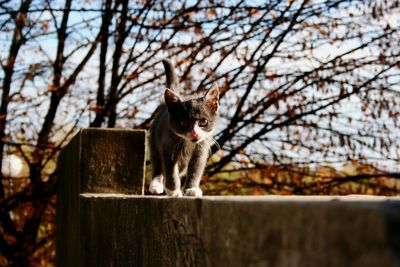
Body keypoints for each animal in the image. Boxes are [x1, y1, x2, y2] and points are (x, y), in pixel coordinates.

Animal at [149, 59, 220, 197]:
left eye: (203, 122)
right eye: (183, 123)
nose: (194, 134)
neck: (188, 142)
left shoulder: (202, 145)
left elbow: (196, 167)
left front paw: (191, 189)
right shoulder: (168, 143)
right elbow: (170, 168)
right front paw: (172, 189)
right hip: (154, 139)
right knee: (158, 162)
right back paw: (156, 184)